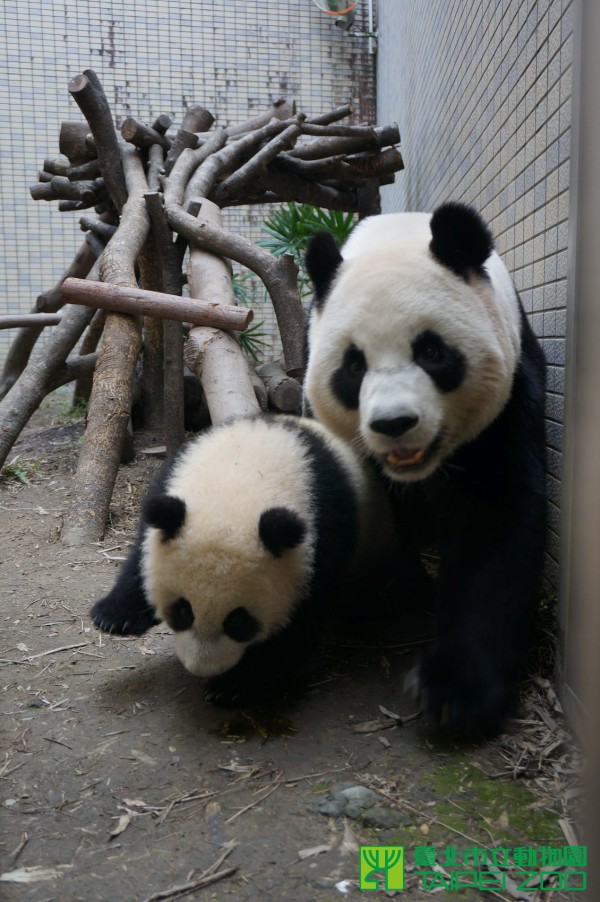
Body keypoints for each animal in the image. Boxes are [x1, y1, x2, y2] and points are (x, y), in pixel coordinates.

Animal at [90, 414, 394, 708]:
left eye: (238, 621)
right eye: (183, 611)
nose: (202, 667)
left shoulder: (325, 531)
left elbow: (302, 617)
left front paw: (236, 686)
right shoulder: (169, 485)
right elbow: (140, 557)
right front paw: (113, 617)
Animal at [304, 205, 548, 740]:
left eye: (431, 352)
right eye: (353, 366)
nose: (394, 424)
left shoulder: (511, 396)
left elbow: (495, 517)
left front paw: (458, 692)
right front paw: (393, 592)